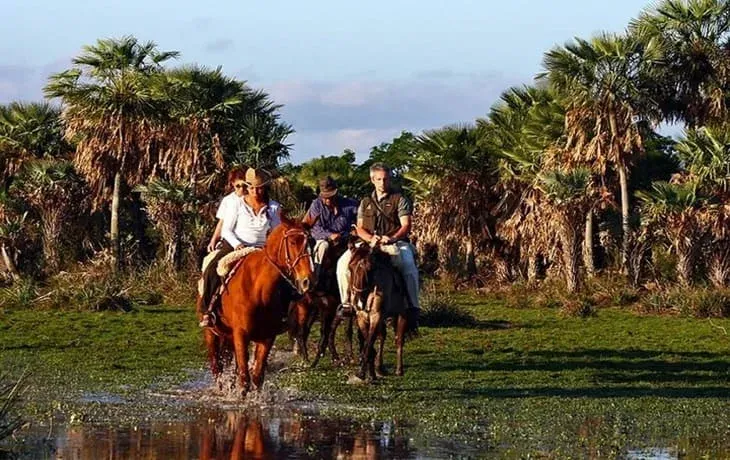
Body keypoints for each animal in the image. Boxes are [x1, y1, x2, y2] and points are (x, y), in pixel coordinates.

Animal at [203, 215, 314, 396]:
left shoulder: (266, 337)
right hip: (211, 333)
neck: (258, 288)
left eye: (312, 242)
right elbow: (244, 379)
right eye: (292, 242)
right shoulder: (241, 334)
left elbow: (256, 377)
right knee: (216, 367)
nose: (308, 281)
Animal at [347, 241, 412, 382]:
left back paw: (399, 370)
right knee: (382, 336)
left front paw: (361, 373)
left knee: (399, 339)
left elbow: (369, 345)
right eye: (350, 267)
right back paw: (379, 367)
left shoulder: (376, 316)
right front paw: (371, 373)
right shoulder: (361, 318)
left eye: (369, 269)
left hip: (402, 314)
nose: (358, 300)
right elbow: (369, 344)